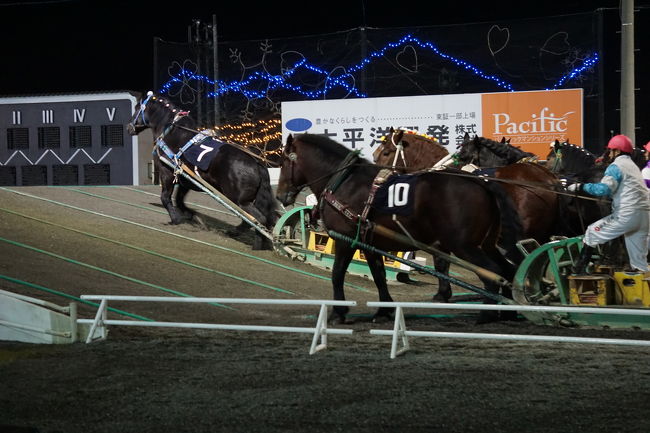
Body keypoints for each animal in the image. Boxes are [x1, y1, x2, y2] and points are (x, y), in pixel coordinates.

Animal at [126, 93, 276, 248]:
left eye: (137, 108)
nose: (128, 127)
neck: (173, 132)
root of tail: (256, 164)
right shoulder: (186, 179)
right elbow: (179, 200)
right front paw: (193, 216)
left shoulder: (167, 172)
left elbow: (165, 197)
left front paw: (175, 219)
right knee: (265, 220)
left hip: (240, 201)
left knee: (258, 219)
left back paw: (246, 239)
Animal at [274, 133, 520, 322]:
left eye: (284, 161)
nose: (280, 195)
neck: (346, 182)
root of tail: (481, 184)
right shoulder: (369, 242)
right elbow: (379, 275)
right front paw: (384, 311)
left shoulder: (345, 239)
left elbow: (337, 274)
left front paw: (338, 313)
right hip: (486, 244)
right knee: (507, 270)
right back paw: (509, 310)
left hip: (464, 245)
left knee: (492, 273)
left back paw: (488, 312)